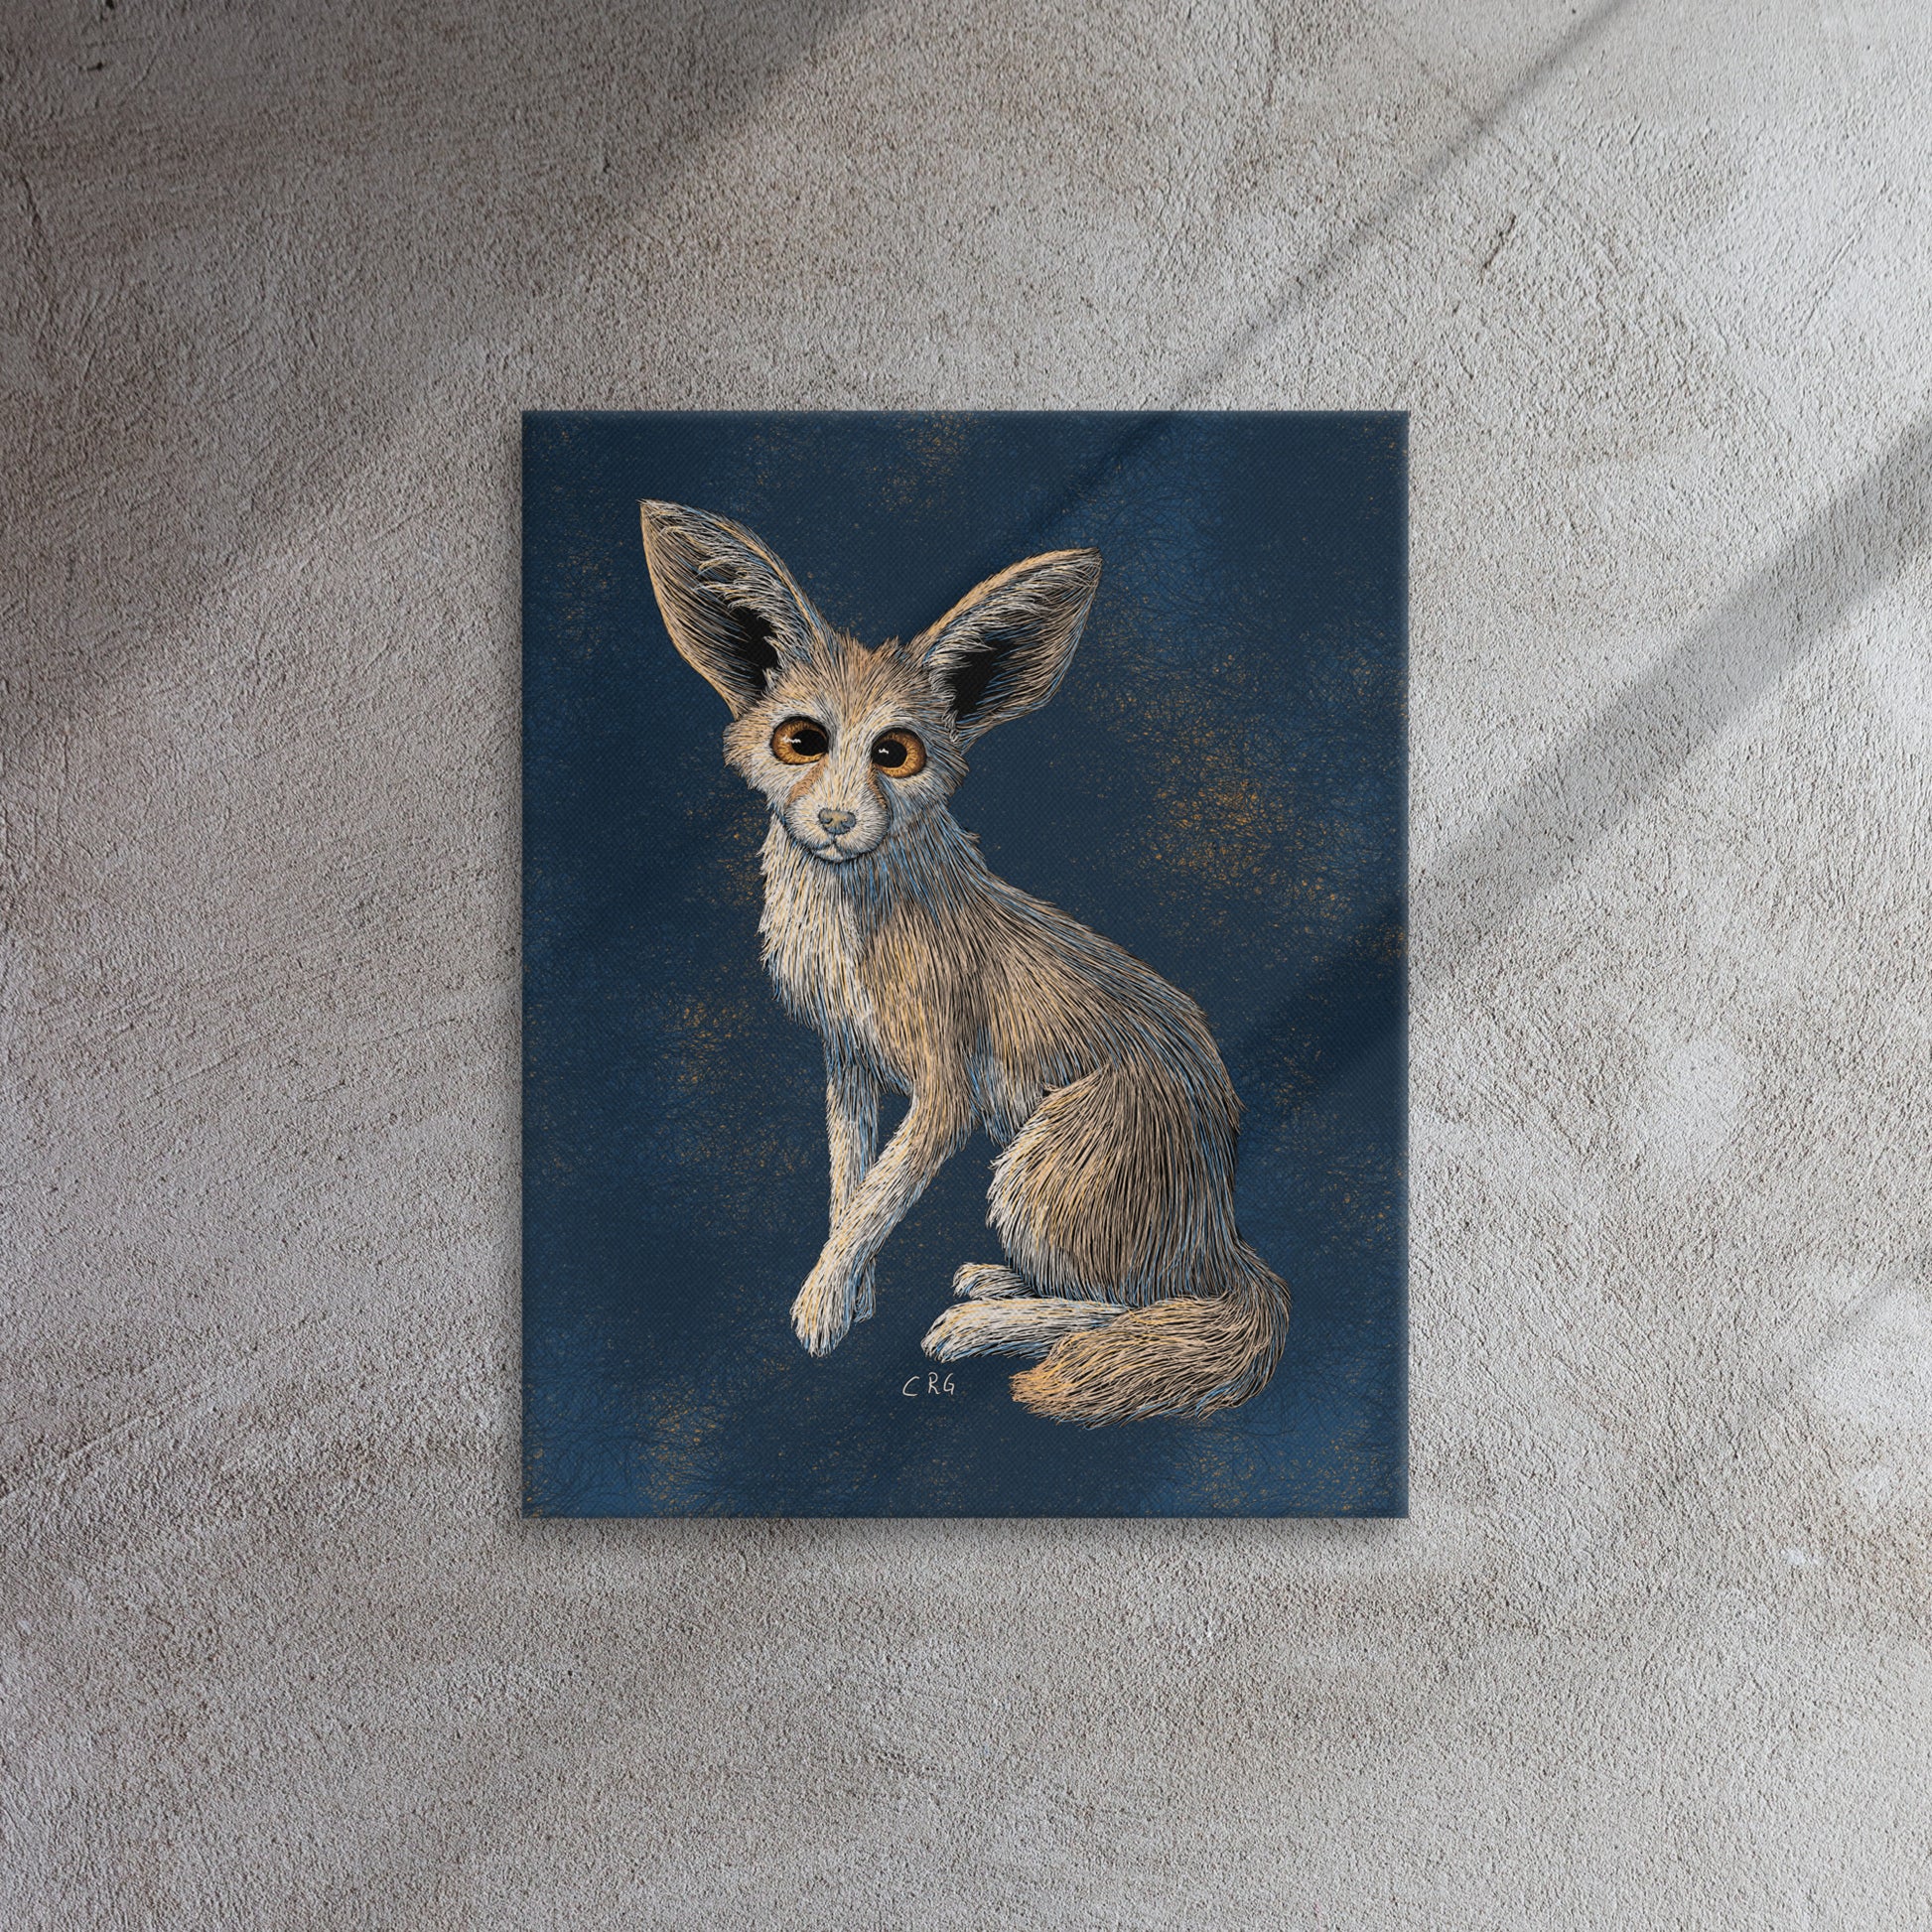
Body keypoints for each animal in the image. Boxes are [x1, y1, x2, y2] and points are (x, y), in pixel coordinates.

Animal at [639, 500, 1290, 1425]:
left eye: (895, 754)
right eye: (800, 741)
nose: (836, 822)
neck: (857, 923)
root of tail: (1224, 1232)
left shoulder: (945, 1092)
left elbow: (877, 1197)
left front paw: (821, 1308)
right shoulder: (847, 1061)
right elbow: (850, 1187)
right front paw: (853, 1293)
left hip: (1037, 1165)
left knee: (1138, 1307)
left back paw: (983, 1327)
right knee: (1140, 1298)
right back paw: (996, 1285)